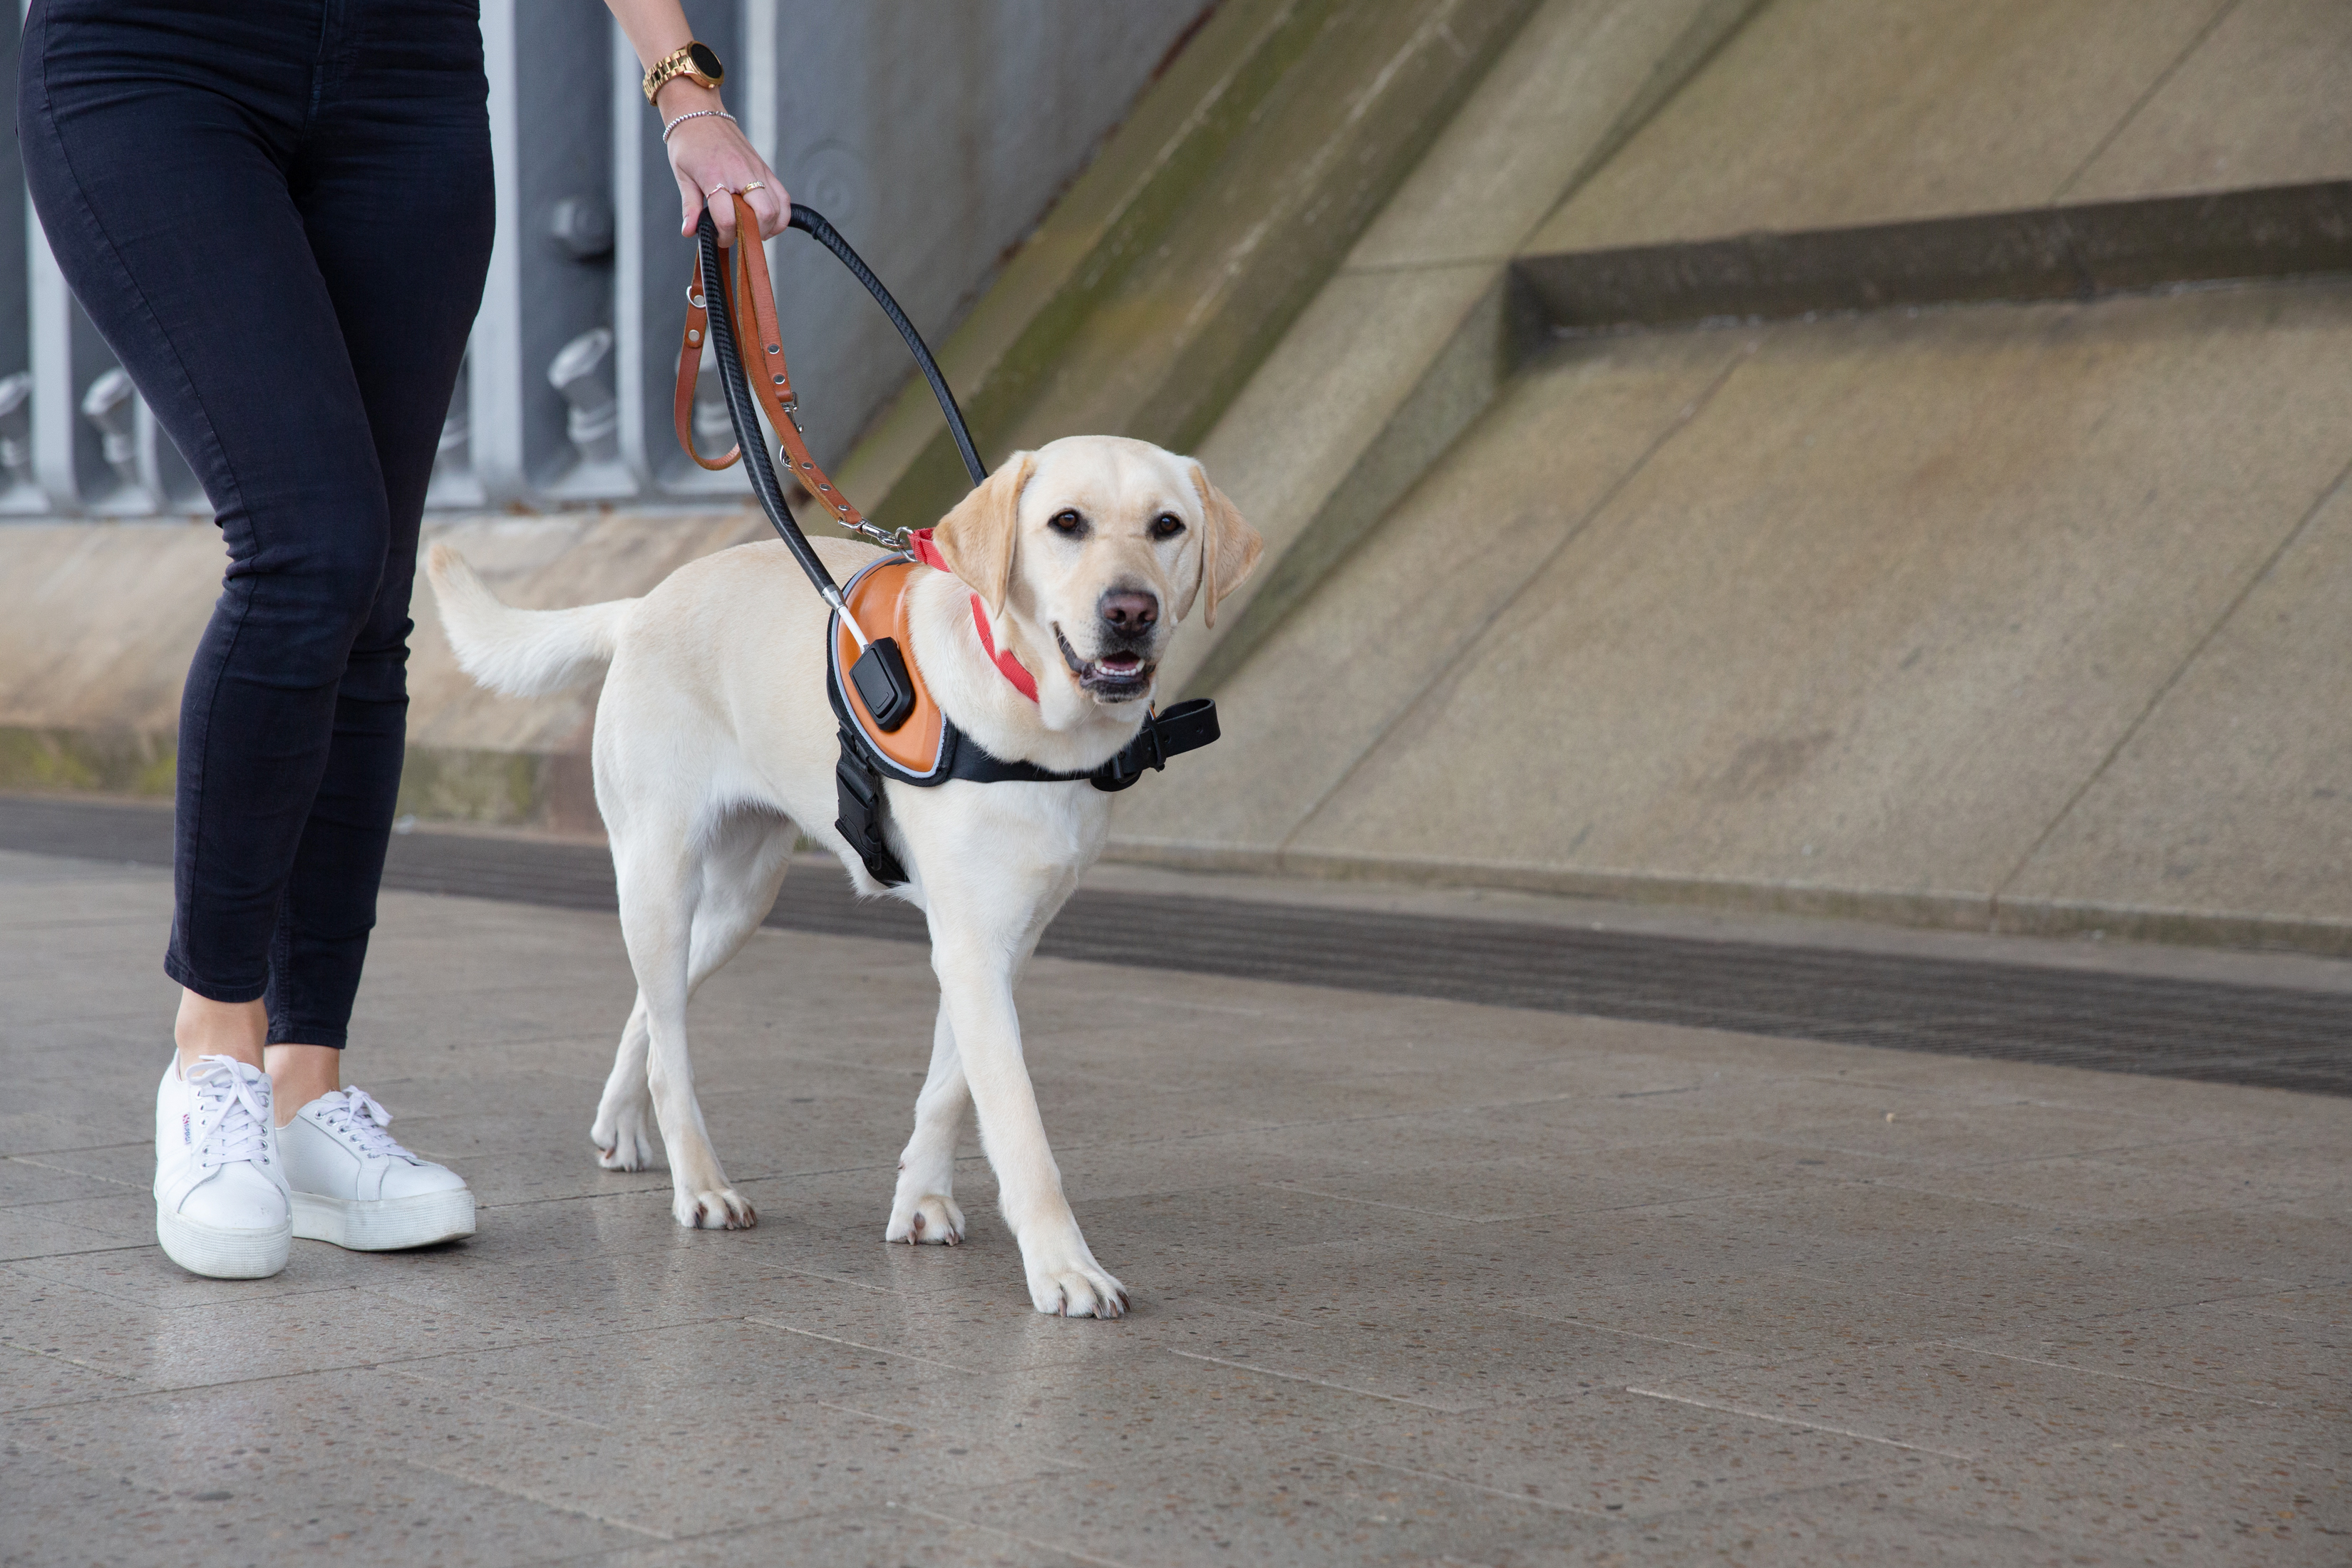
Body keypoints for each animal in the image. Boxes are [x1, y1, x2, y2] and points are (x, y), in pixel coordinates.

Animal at [430, 435, 1260, 1316]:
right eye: (1066, 523)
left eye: (1167, 526)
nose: (1130, 610)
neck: (1034, 721)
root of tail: (642, 604)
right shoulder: (971, 948)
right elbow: (1020, 1129)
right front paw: (1064, 1266)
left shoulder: (1002, 945)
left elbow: (949, 1087)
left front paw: (921, 1201)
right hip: (661, 877)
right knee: (668, 1046)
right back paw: (702, 1185)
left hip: (738, 901)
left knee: (650, 1012)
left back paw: (622, 1121)